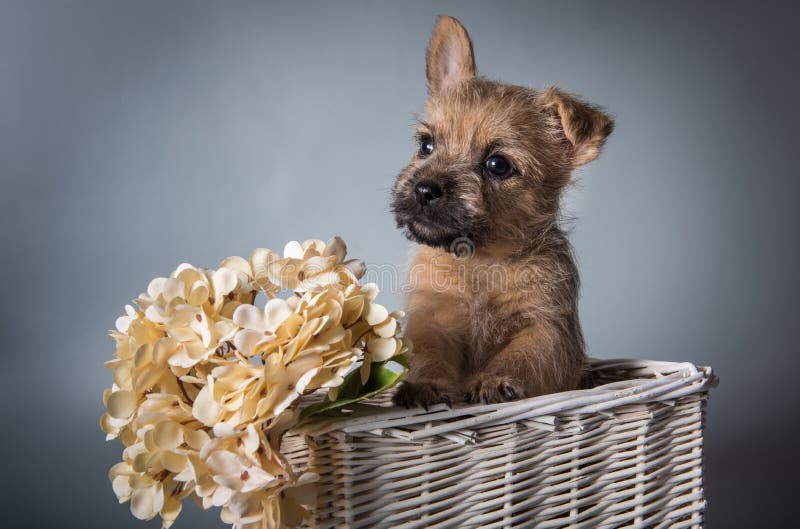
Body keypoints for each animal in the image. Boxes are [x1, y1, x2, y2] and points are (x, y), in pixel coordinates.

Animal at [392, 14, 612, 406]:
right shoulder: (432, 319)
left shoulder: (547, 326)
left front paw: (494, 380)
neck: (480, 262)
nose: (424, 189)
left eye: (497, 165)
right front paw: (424, 384)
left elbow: (523, 354)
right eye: (426, 145)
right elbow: (427, 353)